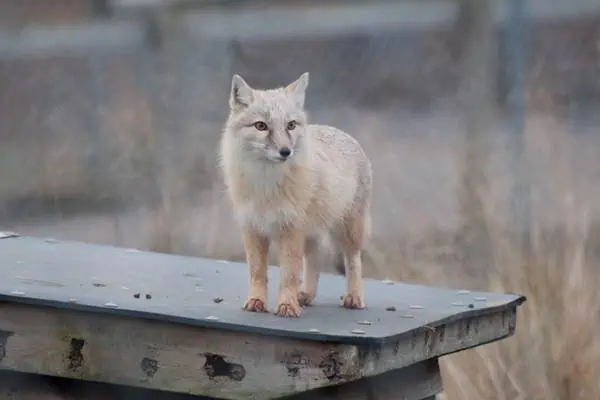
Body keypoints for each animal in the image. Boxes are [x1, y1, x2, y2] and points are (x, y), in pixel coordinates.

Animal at [218, 70, 372, 318]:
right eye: (261, 126)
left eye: (290, 125)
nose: (285, 151)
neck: (267, 185)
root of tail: (341, 132)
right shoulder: (252, 227)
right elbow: (257, 271)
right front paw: (256, 301)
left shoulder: (291, 229)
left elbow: (289, 273)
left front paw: (287, 305)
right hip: (312, 234)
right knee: (314, 262)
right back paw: (306, 294)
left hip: (347, 231)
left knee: (353, 260)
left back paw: (354, 296)